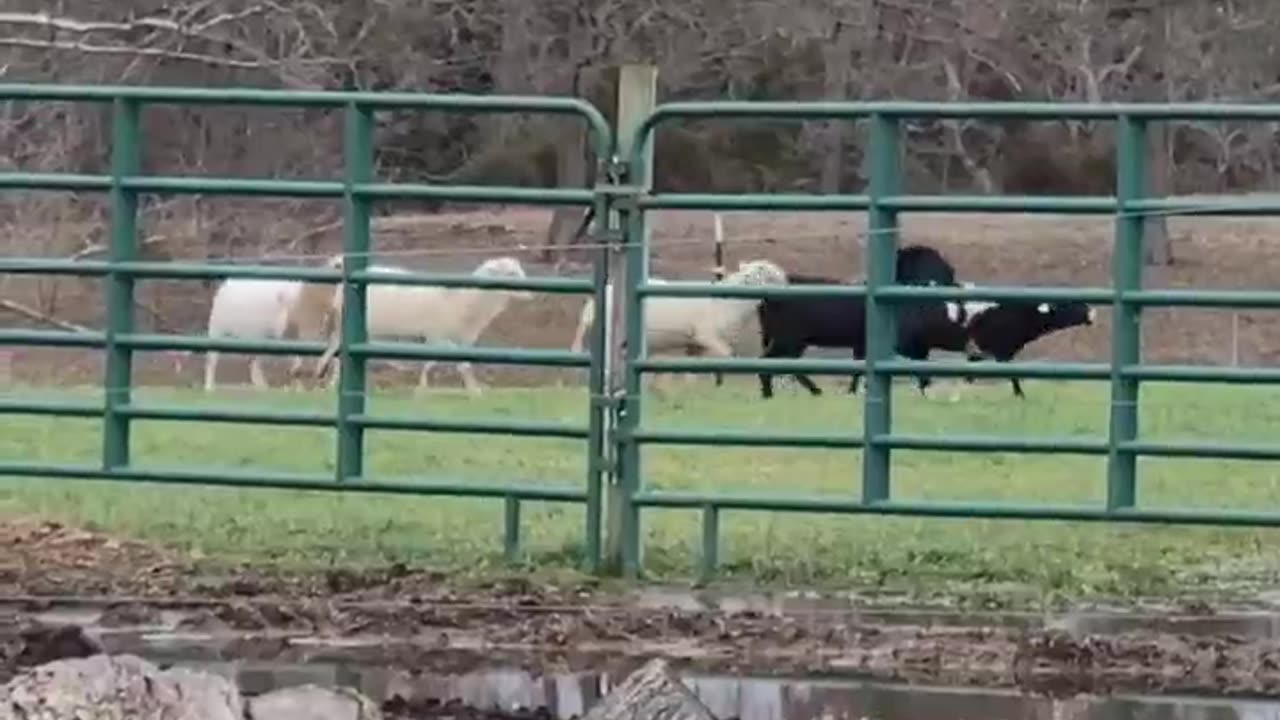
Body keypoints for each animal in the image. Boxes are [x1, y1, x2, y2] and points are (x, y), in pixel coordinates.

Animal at [313, 255, 534, 396]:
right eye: (510, 273)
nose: (531, 293)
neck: (465, 300)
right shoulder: (437, 336)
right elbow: (461, 364)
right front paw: (474, 390)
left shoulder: (447, 338)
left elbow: (434, 361)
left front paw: (423, 386)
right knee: (337, 353)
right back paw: (329, 382)